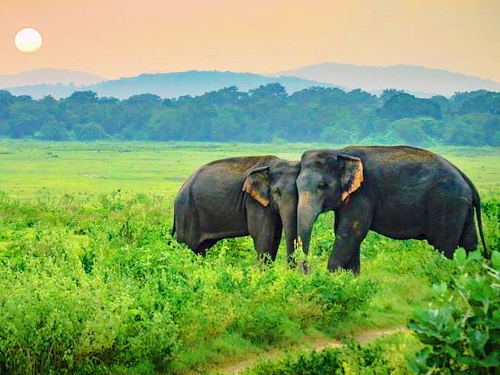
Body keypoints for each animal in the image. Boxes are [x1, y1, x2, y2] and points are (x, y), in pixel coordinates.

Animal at [296, 146, 488, 274]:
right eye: (296, 185)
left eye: (322, 186)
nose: (307, 270)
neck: (340, 152)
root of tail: (466, 179)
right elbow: (346, 234)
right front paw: (351, 279)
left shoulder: (363, 194)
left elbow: (350, 233)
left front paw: (331, 278)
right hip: (461, 208)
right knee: (469, 243)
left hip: (448, 206)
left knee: (443, 247)